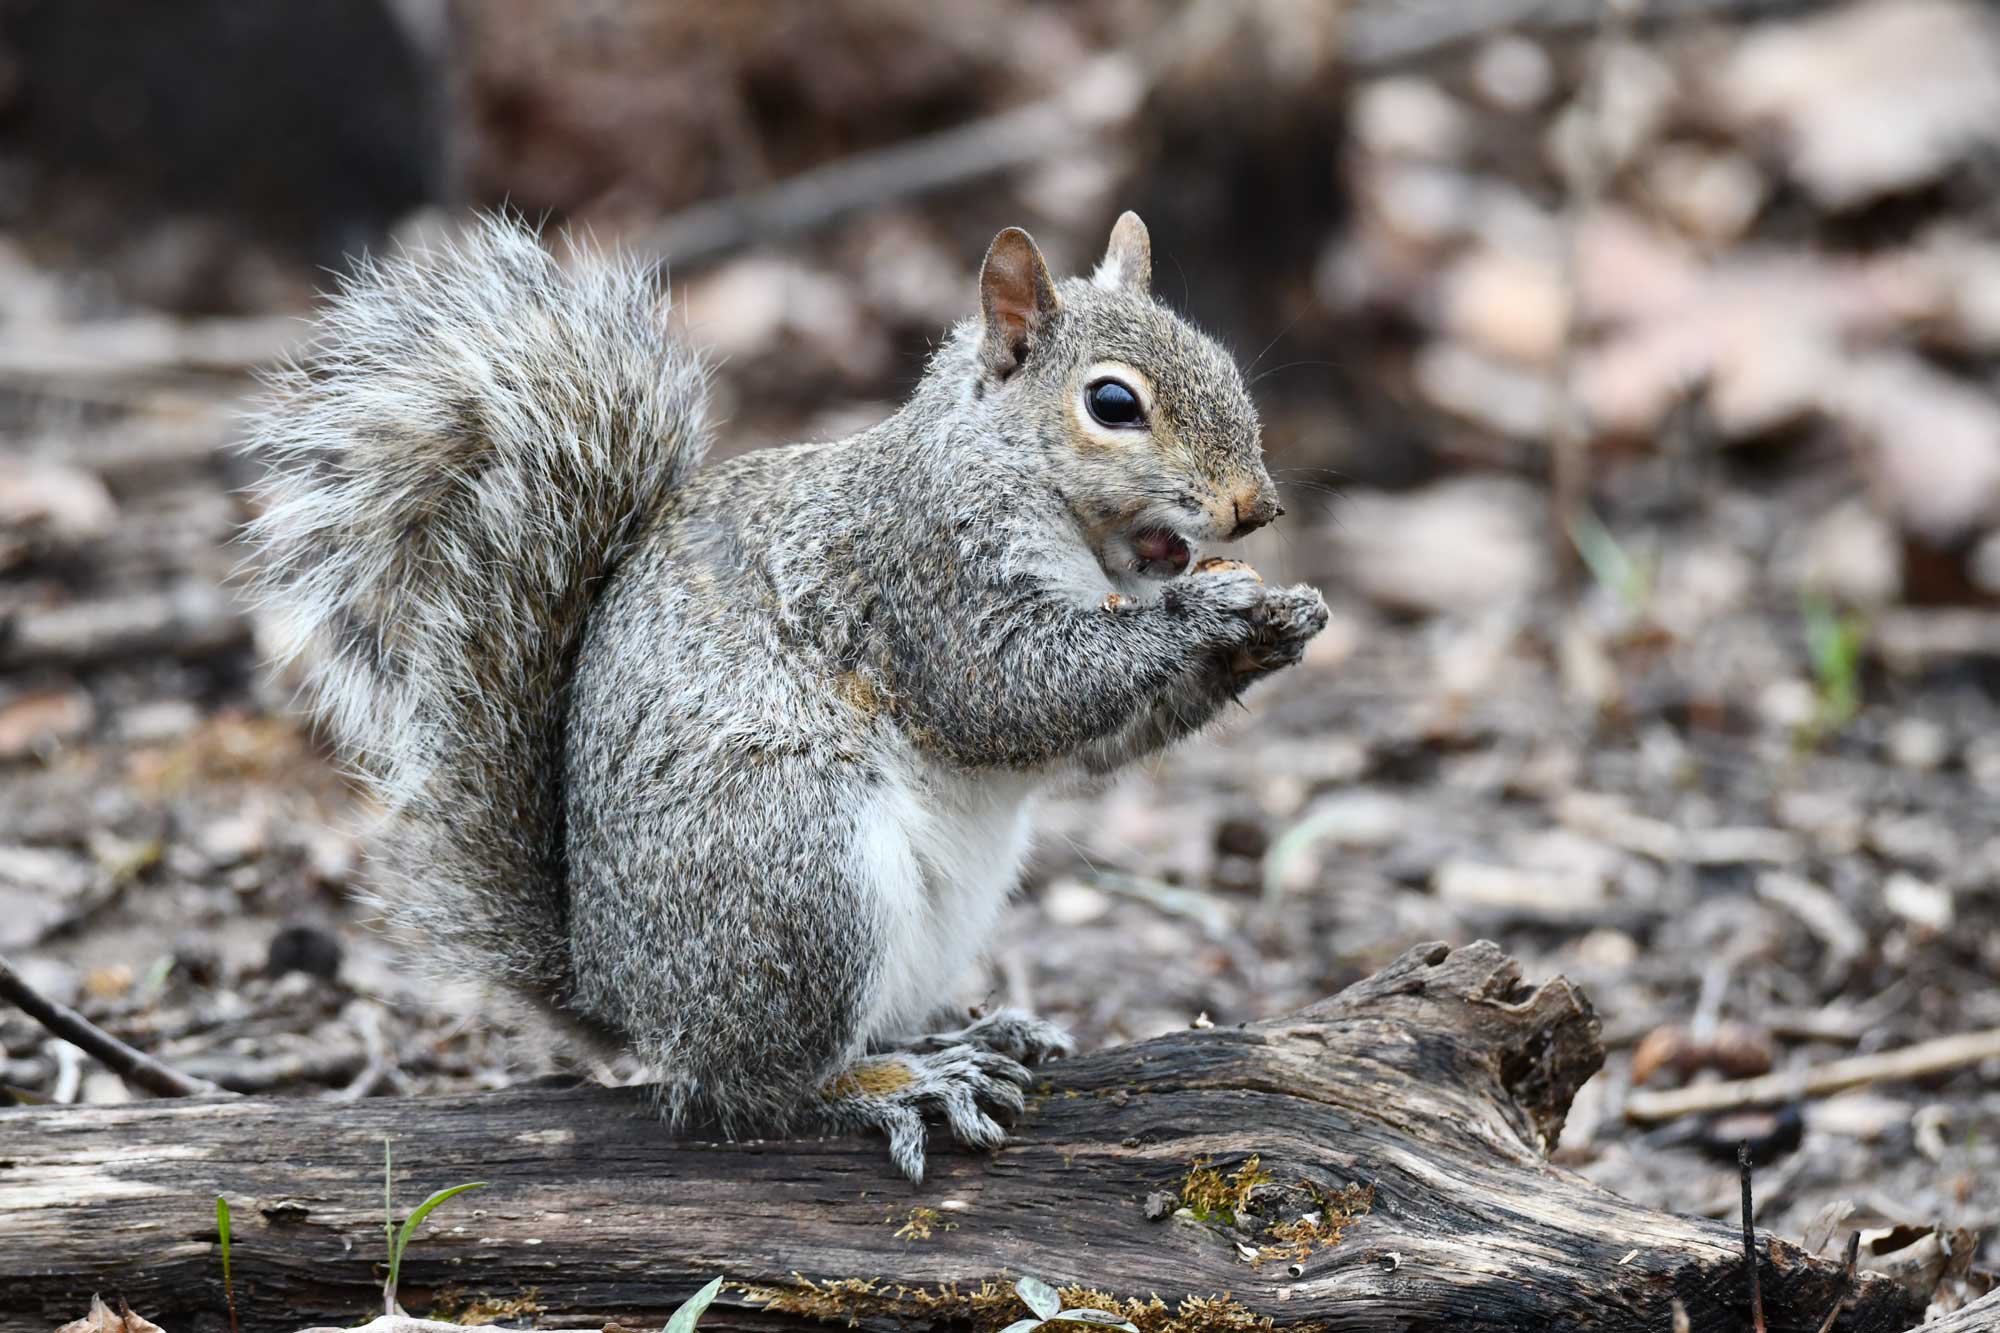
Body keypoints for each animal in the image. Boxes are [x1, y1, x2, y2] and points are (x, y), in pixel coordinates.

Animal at [244, 211, 1329, 1181]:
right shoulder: (924, 584)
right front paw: (1206, 611)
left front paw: (1280, 622)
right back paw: (896, 1083)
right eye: (1111, 403)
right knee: (746, 1090)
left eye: (1220, 360)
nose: (1256, 507)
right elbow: (1014, 692)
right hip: (794, 867)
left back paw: (961, 1035)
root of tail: (619, 991)